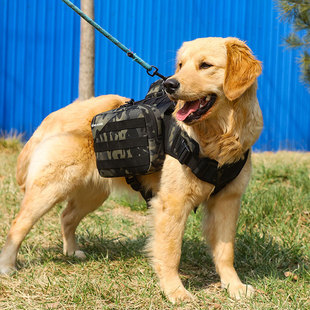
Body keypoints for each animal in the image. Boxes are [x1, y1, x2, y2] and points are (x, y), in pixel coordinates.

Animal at [0, 37, 262, 304]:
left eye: (205, 65)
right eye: (180, 65)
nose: (170, 84)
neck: (217, 138)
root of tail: (53, 116)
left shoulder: (228, 201)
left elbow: (225, 251)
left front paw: (234, 285)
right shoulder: (172, 203)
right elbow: (171, 252)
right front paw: (175, 291)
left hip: (93, 194)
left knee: (66, 217)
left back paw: (72, 251)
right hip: (50, 189)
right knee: (19, 224)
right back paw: (7, 265)